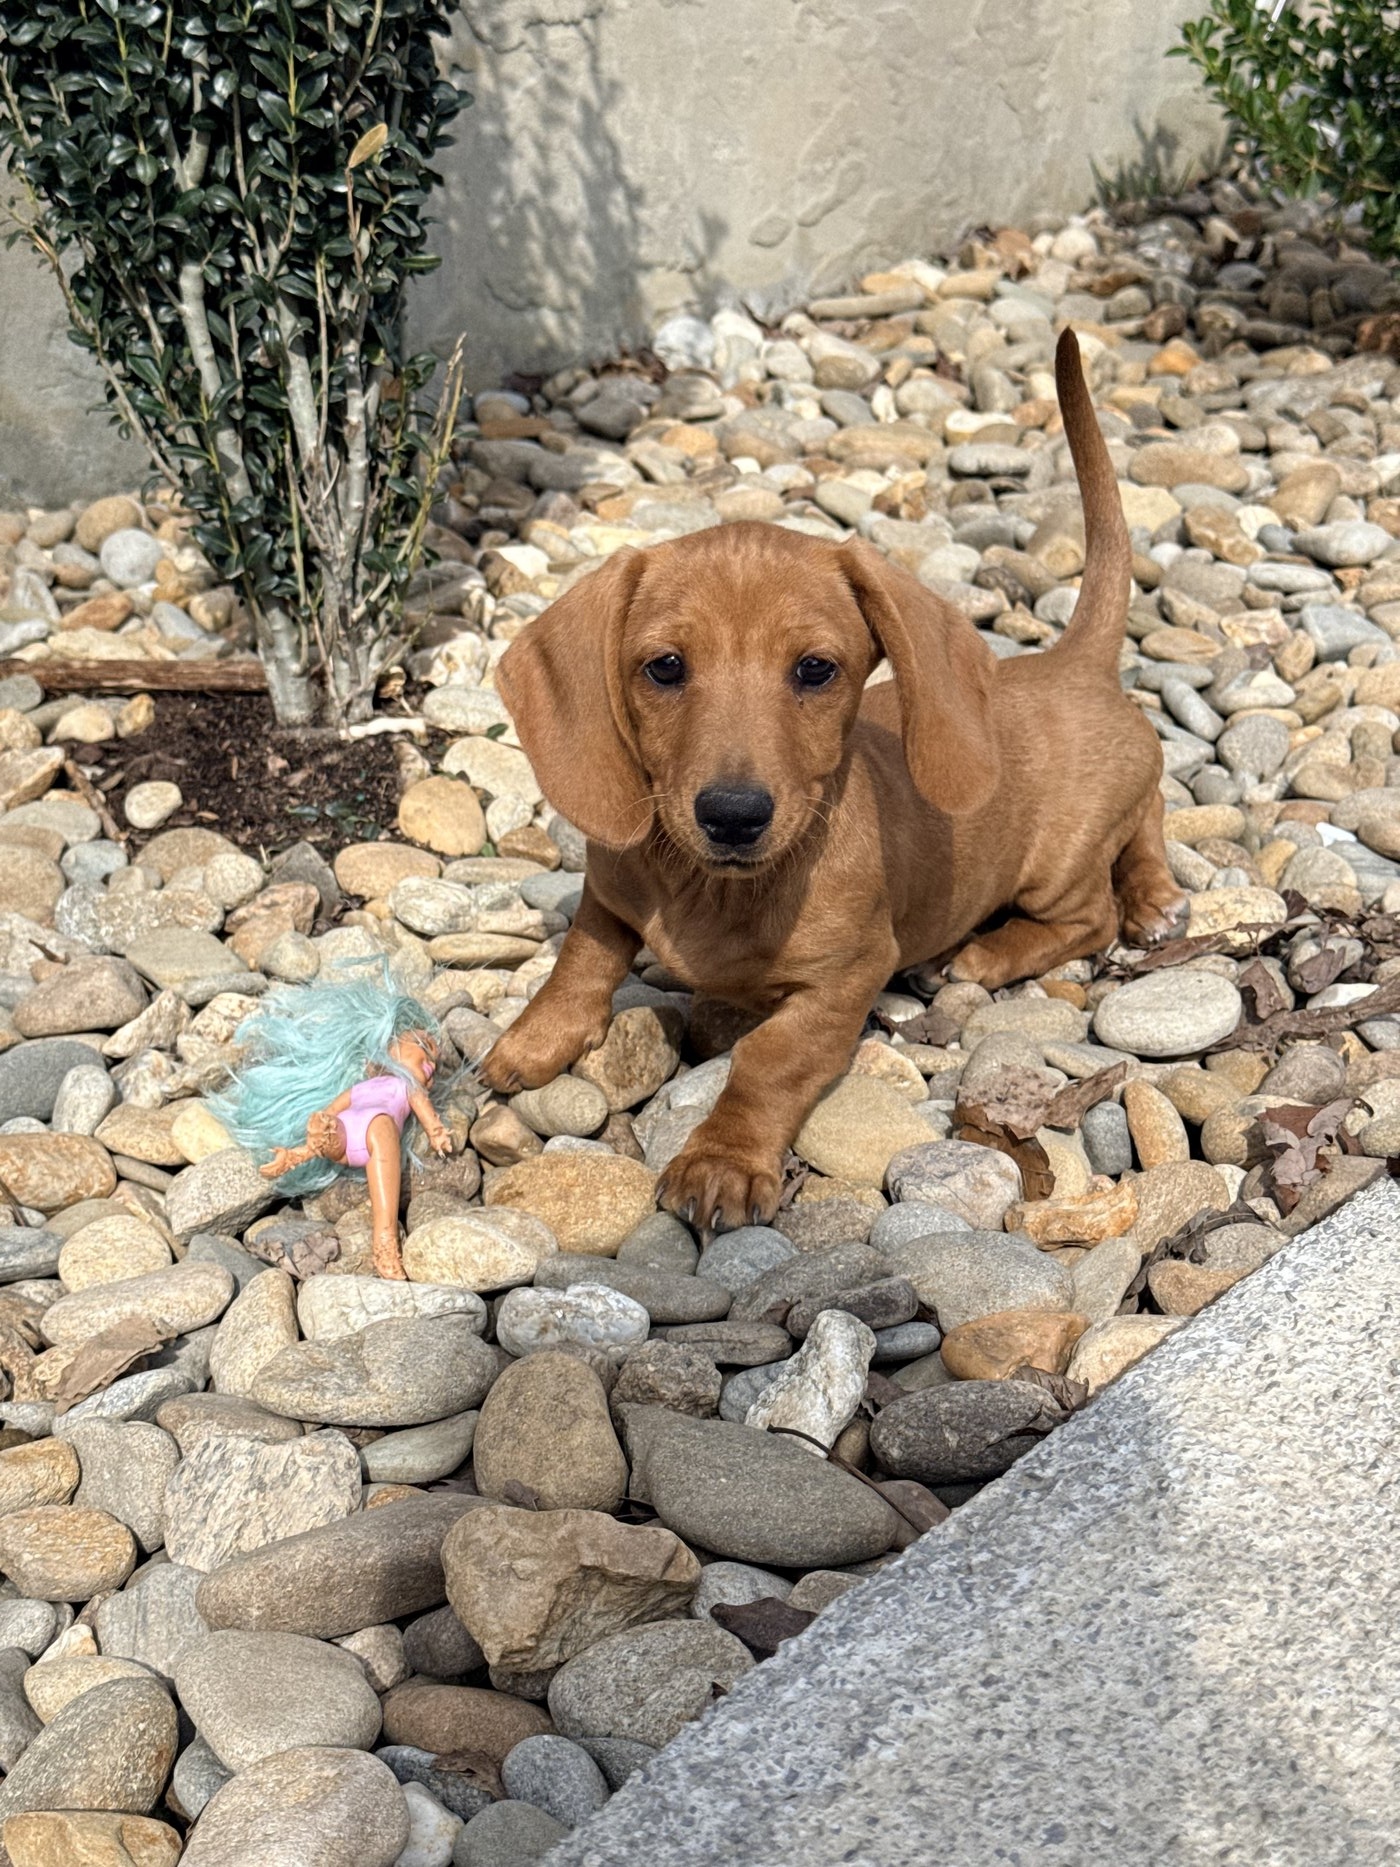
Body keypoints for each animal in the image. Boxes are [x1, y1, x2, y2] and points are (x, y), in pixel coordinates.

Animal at [478, 330, 1186, 1231]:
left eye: (816, 669)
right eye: (665, 666)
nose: (733, 815)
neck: (715, 888)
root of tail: (1076, 662)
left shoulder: (847, 977)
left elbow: (770, 1059)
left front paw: (721, 1157)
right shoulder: (610, 891)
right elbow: (580, 964)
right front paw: (532, 1040)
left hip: (1056, 865)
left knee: (1095, 909)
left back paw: (1014, 946)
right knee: (1153, 804)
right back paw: (1156, 893)